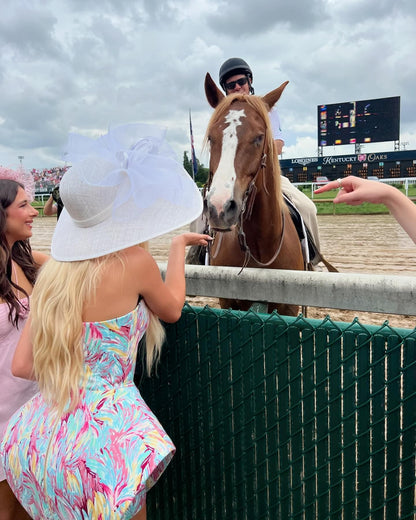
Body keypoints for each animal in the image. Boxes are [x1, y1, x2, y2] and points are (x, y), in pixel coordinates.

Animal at [204, 73, 304, 314]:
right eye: (211, 137)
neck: (261, 250)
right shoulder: (228, 303)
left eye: (259, 137)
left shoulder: (290, 308)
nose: (220, 207)